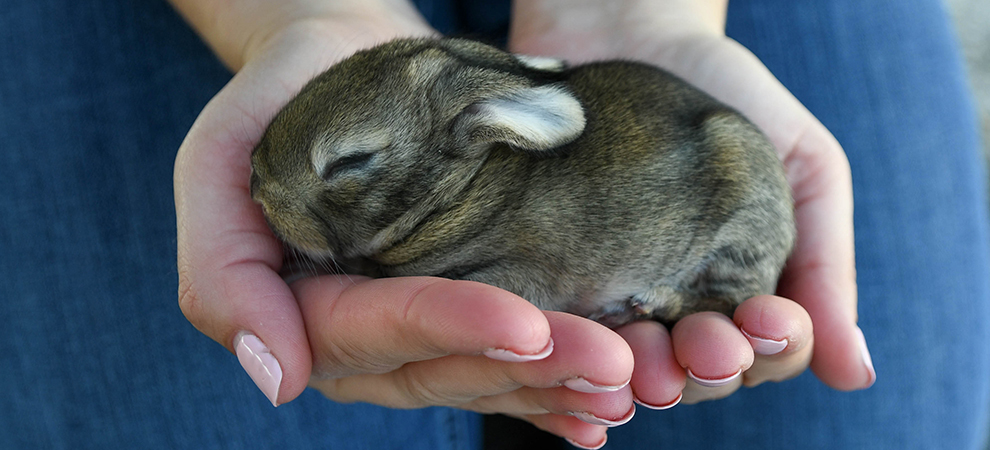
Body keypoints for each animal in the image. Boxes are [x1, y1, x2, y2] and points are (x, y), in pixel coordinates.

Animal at [250, 37, 800, 326]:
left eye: (350, 162)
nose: (255, 183)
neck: (460, 191)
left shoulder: (526, 273)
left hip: (739, 230)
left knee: (732, 299)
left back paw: (647, 303)